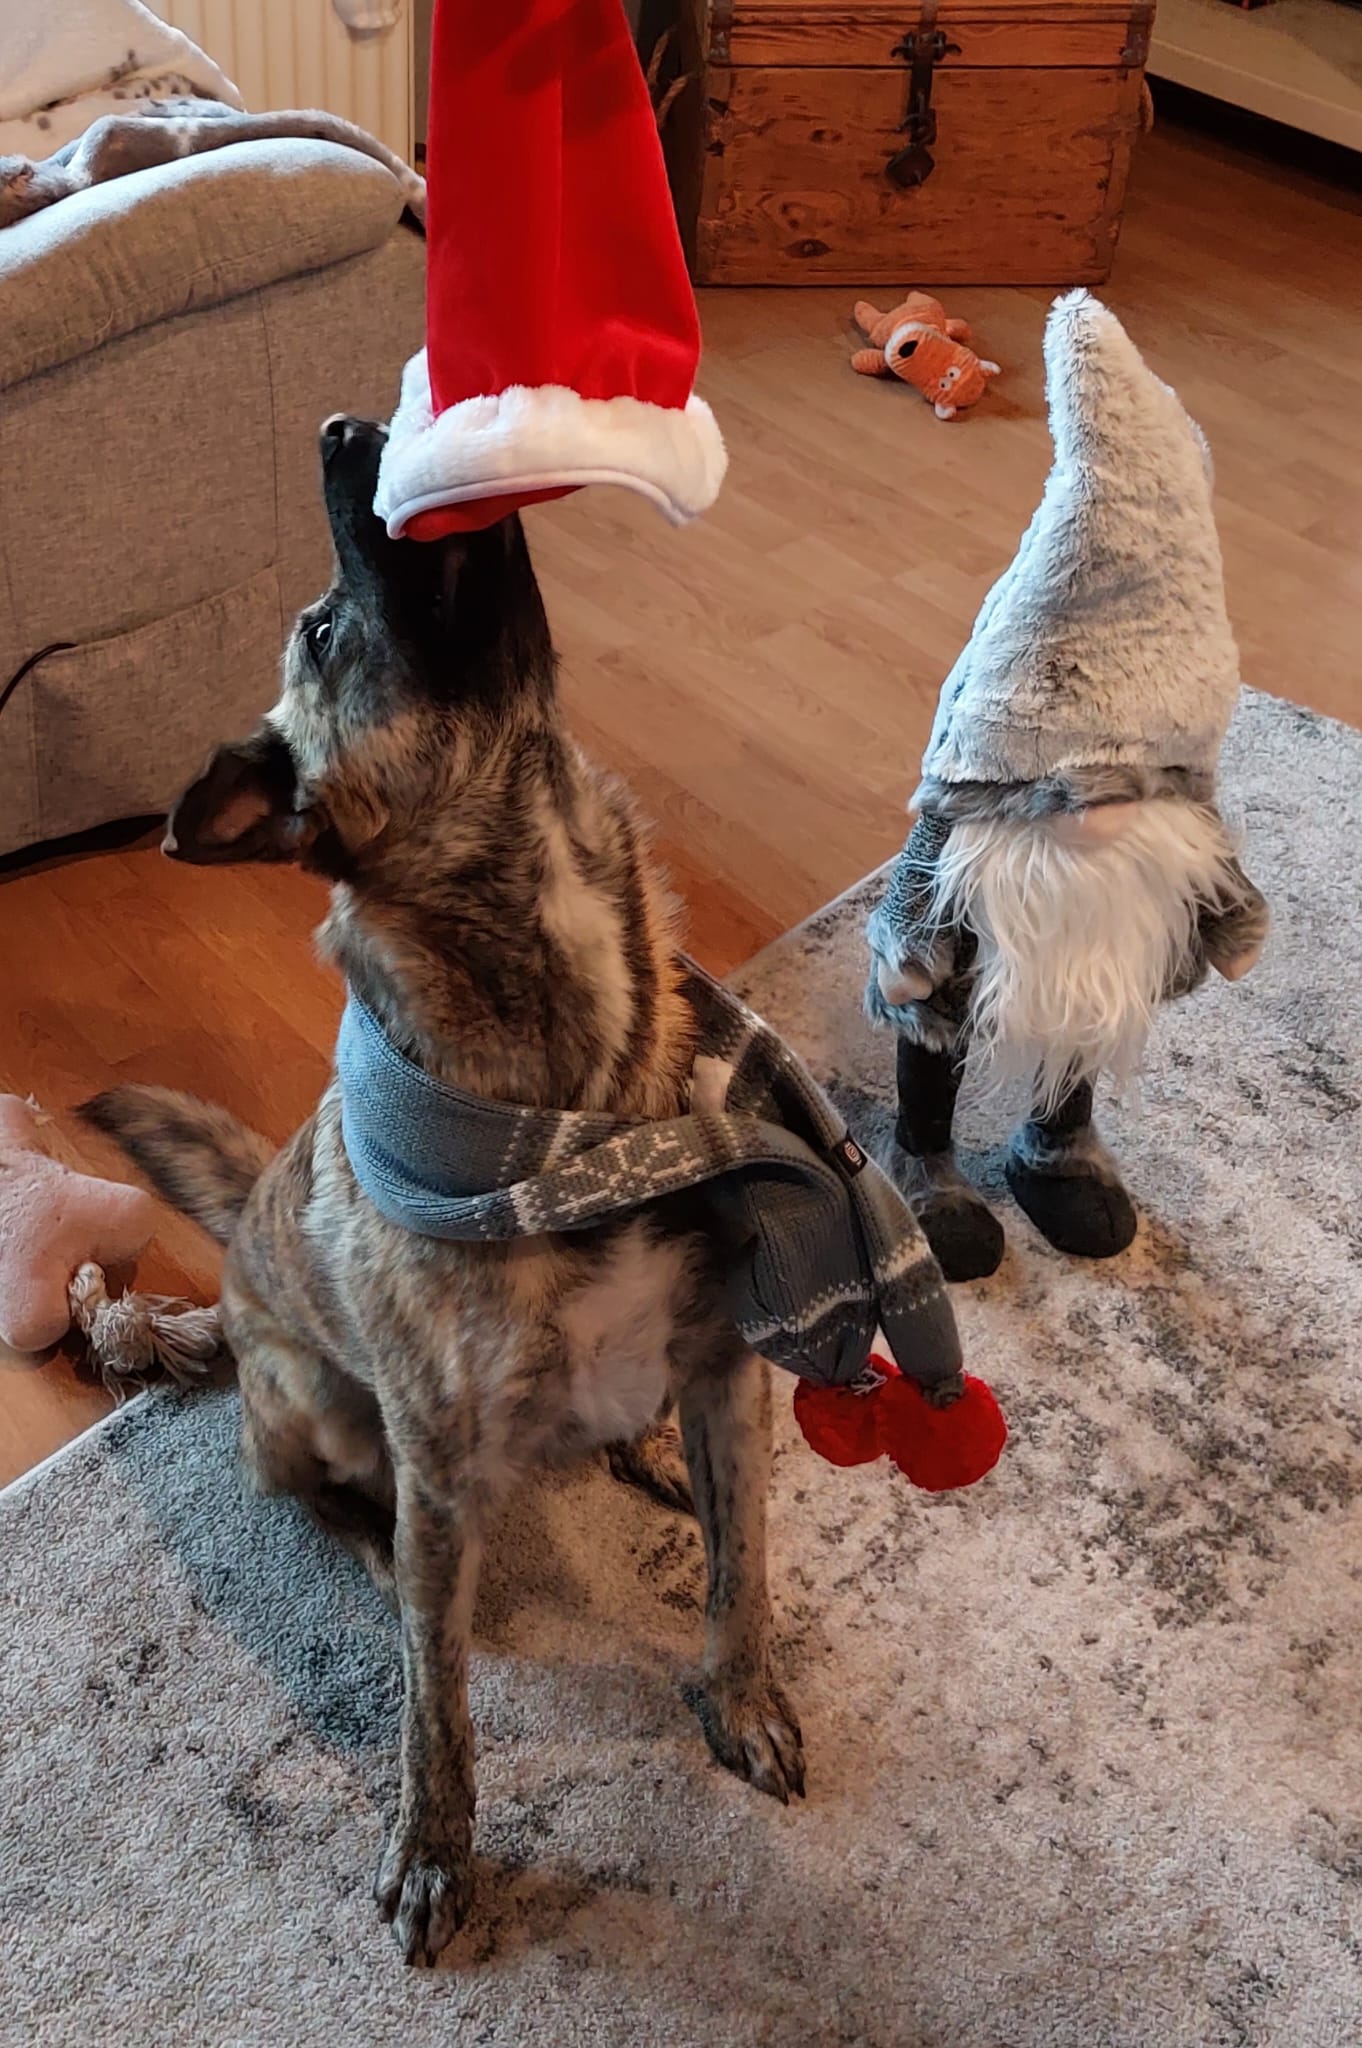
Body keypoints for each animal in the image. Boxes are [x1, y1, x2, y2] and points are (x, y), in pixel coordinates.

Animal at [83, 416, 804, 1966]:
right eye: (321, 629)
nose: (345, 427)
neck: (580, 1105)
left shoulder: (727, 1370)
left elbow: (745, 1572)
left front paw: (744, 1697)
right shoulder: (432, 1452)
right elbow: (438, 1706)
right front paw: (434, 1852)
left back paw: (640, 1451)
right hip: (311, 1403)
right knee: (314, 1502)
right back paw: (365, 1551)